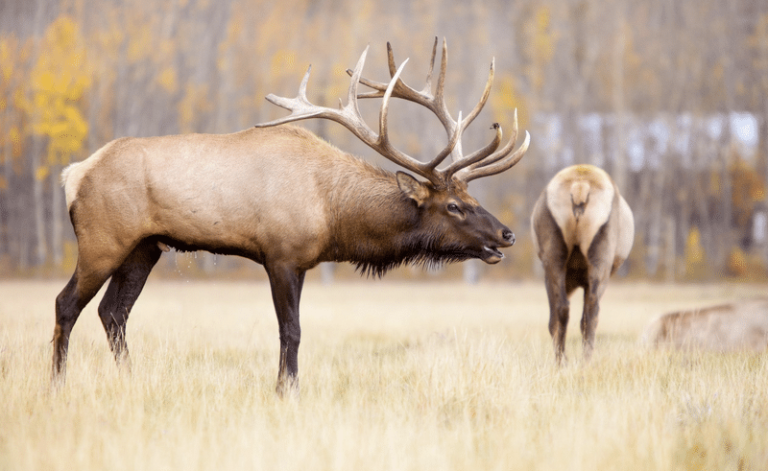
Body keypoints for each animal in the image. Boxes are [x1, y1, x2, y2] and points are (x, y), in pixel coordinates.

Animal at [52, 38, 528, 396]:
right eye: (453, 206)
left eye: (471, 195)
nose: (506, 234)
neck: (333, 214)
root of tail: (73, 174)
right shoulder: (281, 255)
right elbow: (291, 331)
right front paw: (286, 390)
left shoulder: (299, 262)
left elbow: (293, 330)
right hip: (102, 240)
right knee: (67, 304)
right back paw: (56, 383)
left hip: (144, 247)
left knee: (114, 312)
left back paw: (129, 380)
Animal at [532, 164, 632, 364]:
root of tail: (580, 187)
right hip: (601, 258)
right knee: (589, 312)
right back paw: (582, 360)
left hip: (555, 256)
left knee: (563, 309)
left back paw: (564, 360)